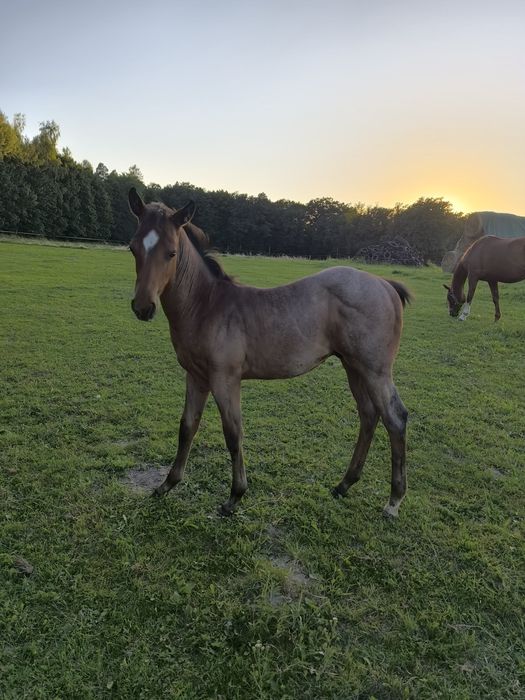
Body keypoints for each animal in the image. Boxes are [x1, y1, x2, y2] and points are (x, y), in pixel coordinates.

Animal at [127, 188, 411, 518]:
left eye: (171, 252)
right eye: (133, 248)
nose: (143, 307)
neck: (206, 306)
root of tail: (385, 284)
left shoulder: (225, 379)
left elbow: (233, 433)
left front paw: (234, 497)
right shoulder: (196, 376)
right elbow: (187, 427)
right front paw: (166, 485)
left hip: (375, 369)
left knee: (394, 418)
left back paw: (393, 501)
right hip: (353, 367)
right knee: (368, 415)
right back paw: (343, 485)